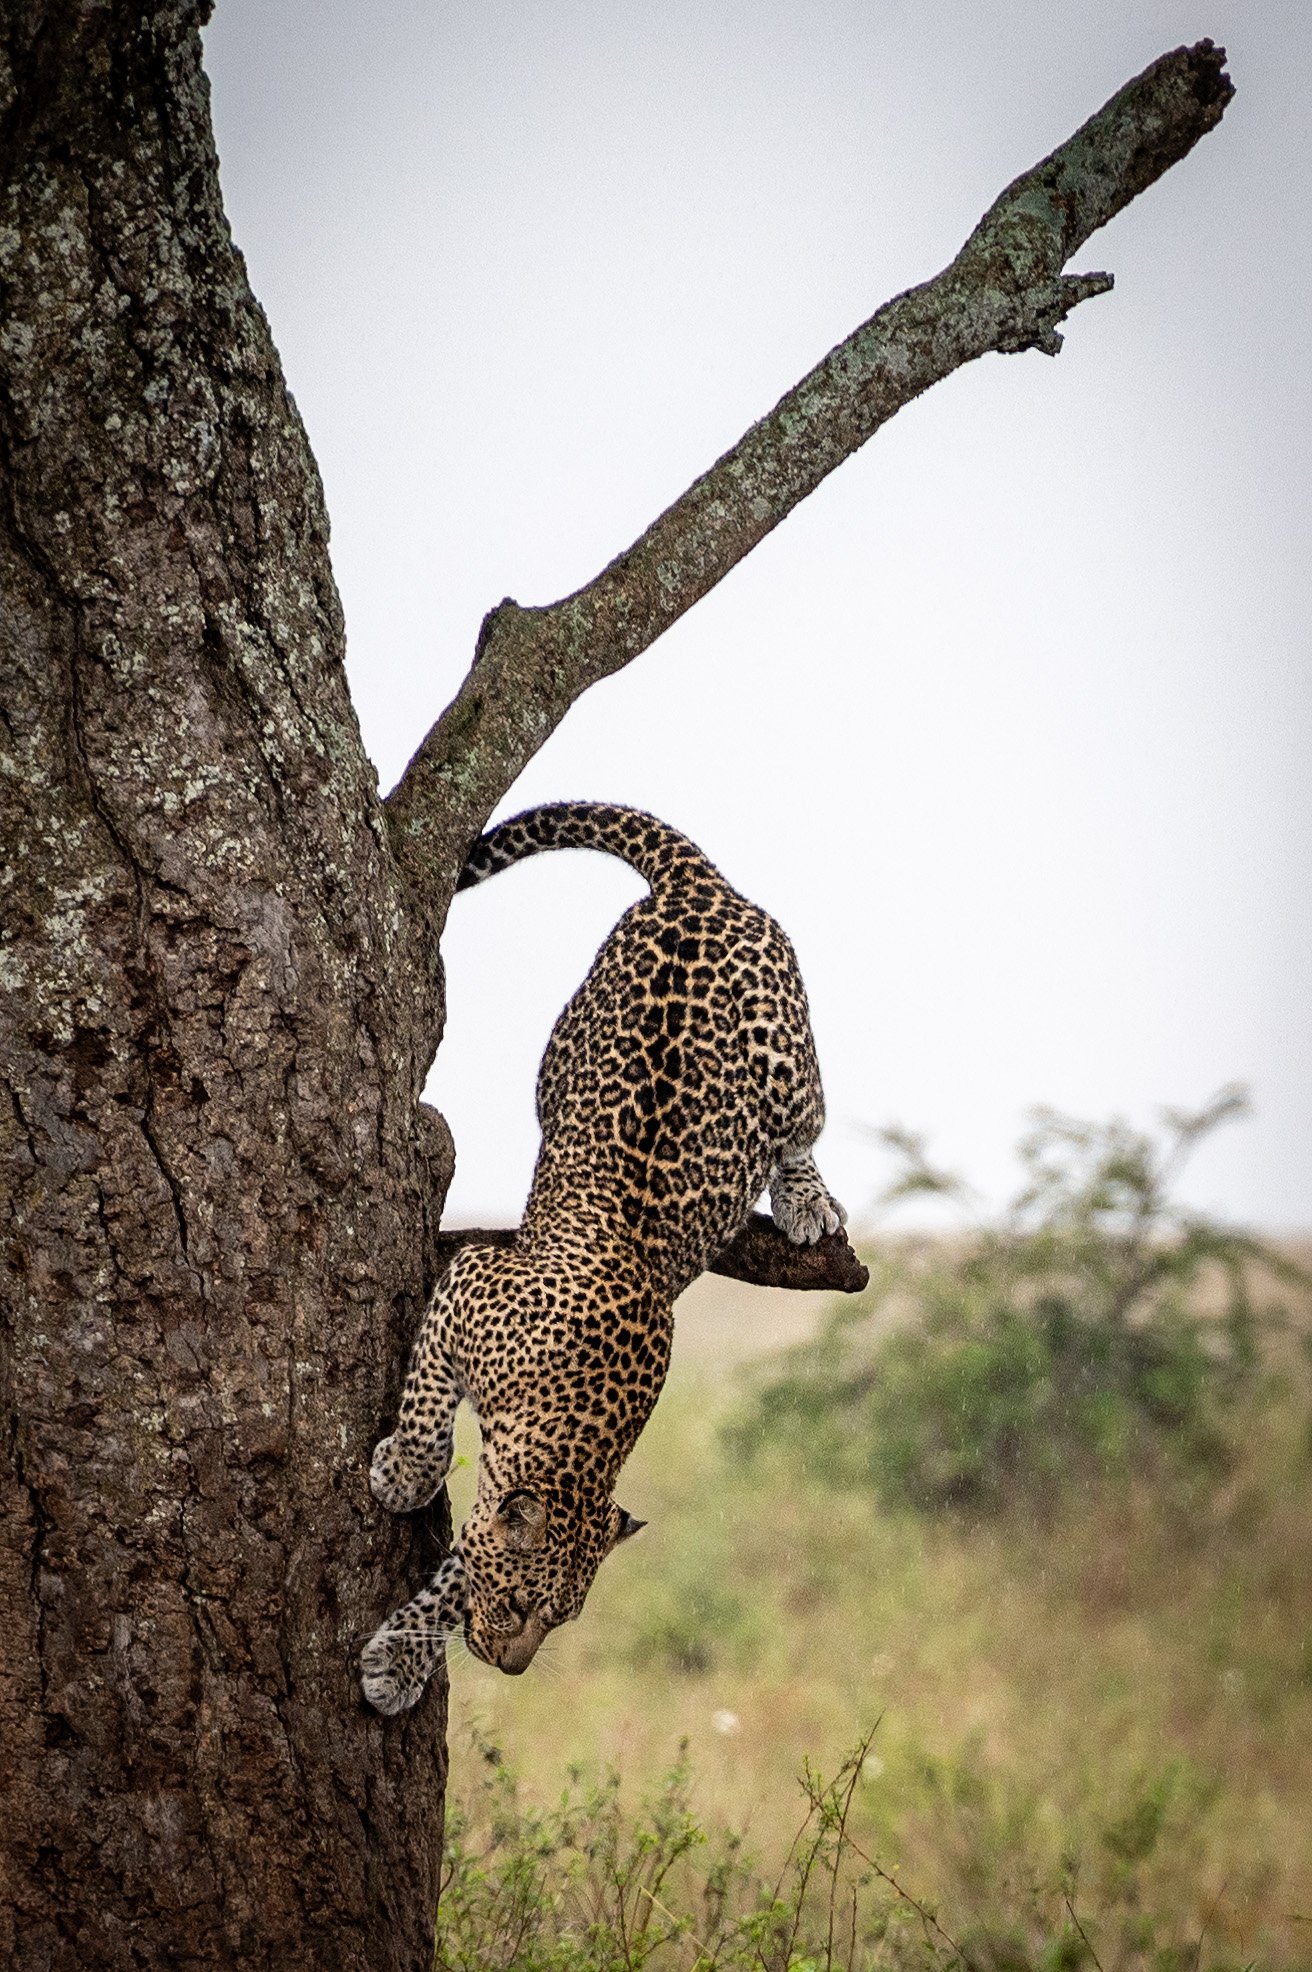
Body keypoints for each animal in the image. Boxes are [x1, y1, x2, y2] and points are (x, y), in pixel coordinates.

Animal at [360, 802, 845, 1713]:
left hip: (791, 1063)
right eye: (522, 1605)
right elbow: (431, 1418)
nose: (512, 1669)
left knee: (799, 1133)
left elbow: (457, 1562)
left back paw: (806, 1204)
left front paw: (401, 1657)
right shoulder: (468, 1283)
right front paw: (403, 1474)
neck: (578, 1415)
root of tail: (697, 886)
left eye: (562, 1619)